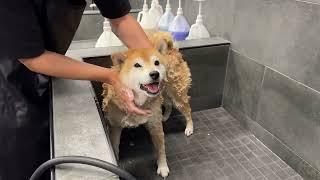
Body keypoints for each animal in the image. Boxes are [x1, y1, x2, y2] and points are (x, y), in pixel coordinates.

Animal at [101, 32, 194, 177]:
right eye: (137, 65)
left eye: (156, 62)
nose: (155, 74)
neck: (140, 102)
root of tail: (171, 50)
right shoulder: (115, 126)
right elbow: (115, 146)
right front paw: (115, 161)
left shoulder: (155, 126)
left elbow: (161, 150)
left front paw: (163, 167)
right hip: (164, 94)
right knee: (168, 105)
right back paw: (165, 117)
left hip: (177, 96)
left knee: (187, 110)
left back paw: (189, 127)